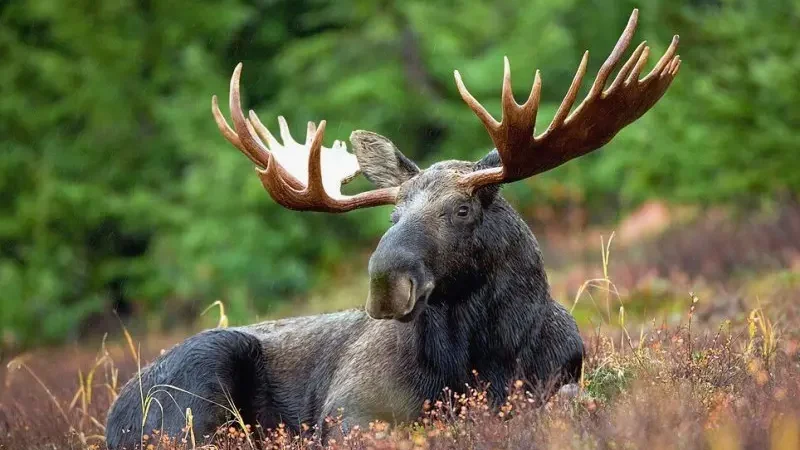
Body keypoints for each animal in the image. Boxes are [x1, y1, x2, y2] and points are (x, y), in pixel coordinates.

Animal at [105, 9, 680, 449]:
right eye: (392, 216)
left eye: (462, 210)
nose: (385, 282)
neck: (486, 356)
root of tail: (113, 418)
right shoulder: (349, 410)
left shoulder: (559, 381)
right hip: (196, 384)